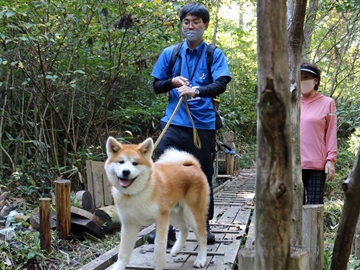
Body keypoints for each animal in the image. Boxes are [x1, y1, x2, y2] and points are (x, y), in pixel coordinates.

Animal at [104, 137, 210, 270]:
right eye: (121, 162)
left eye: (135, 163)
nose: (126, 172)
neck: (138, 192)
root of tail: (192, 166)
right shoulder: (129, 224)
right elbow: (123, 252)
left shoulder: (161, 220)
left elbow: (159, 247)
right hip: (173, 215)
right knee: (184, 228)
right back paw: (176, 249)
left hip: (192, 214)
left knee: (202, 236)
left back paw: (201, 259)